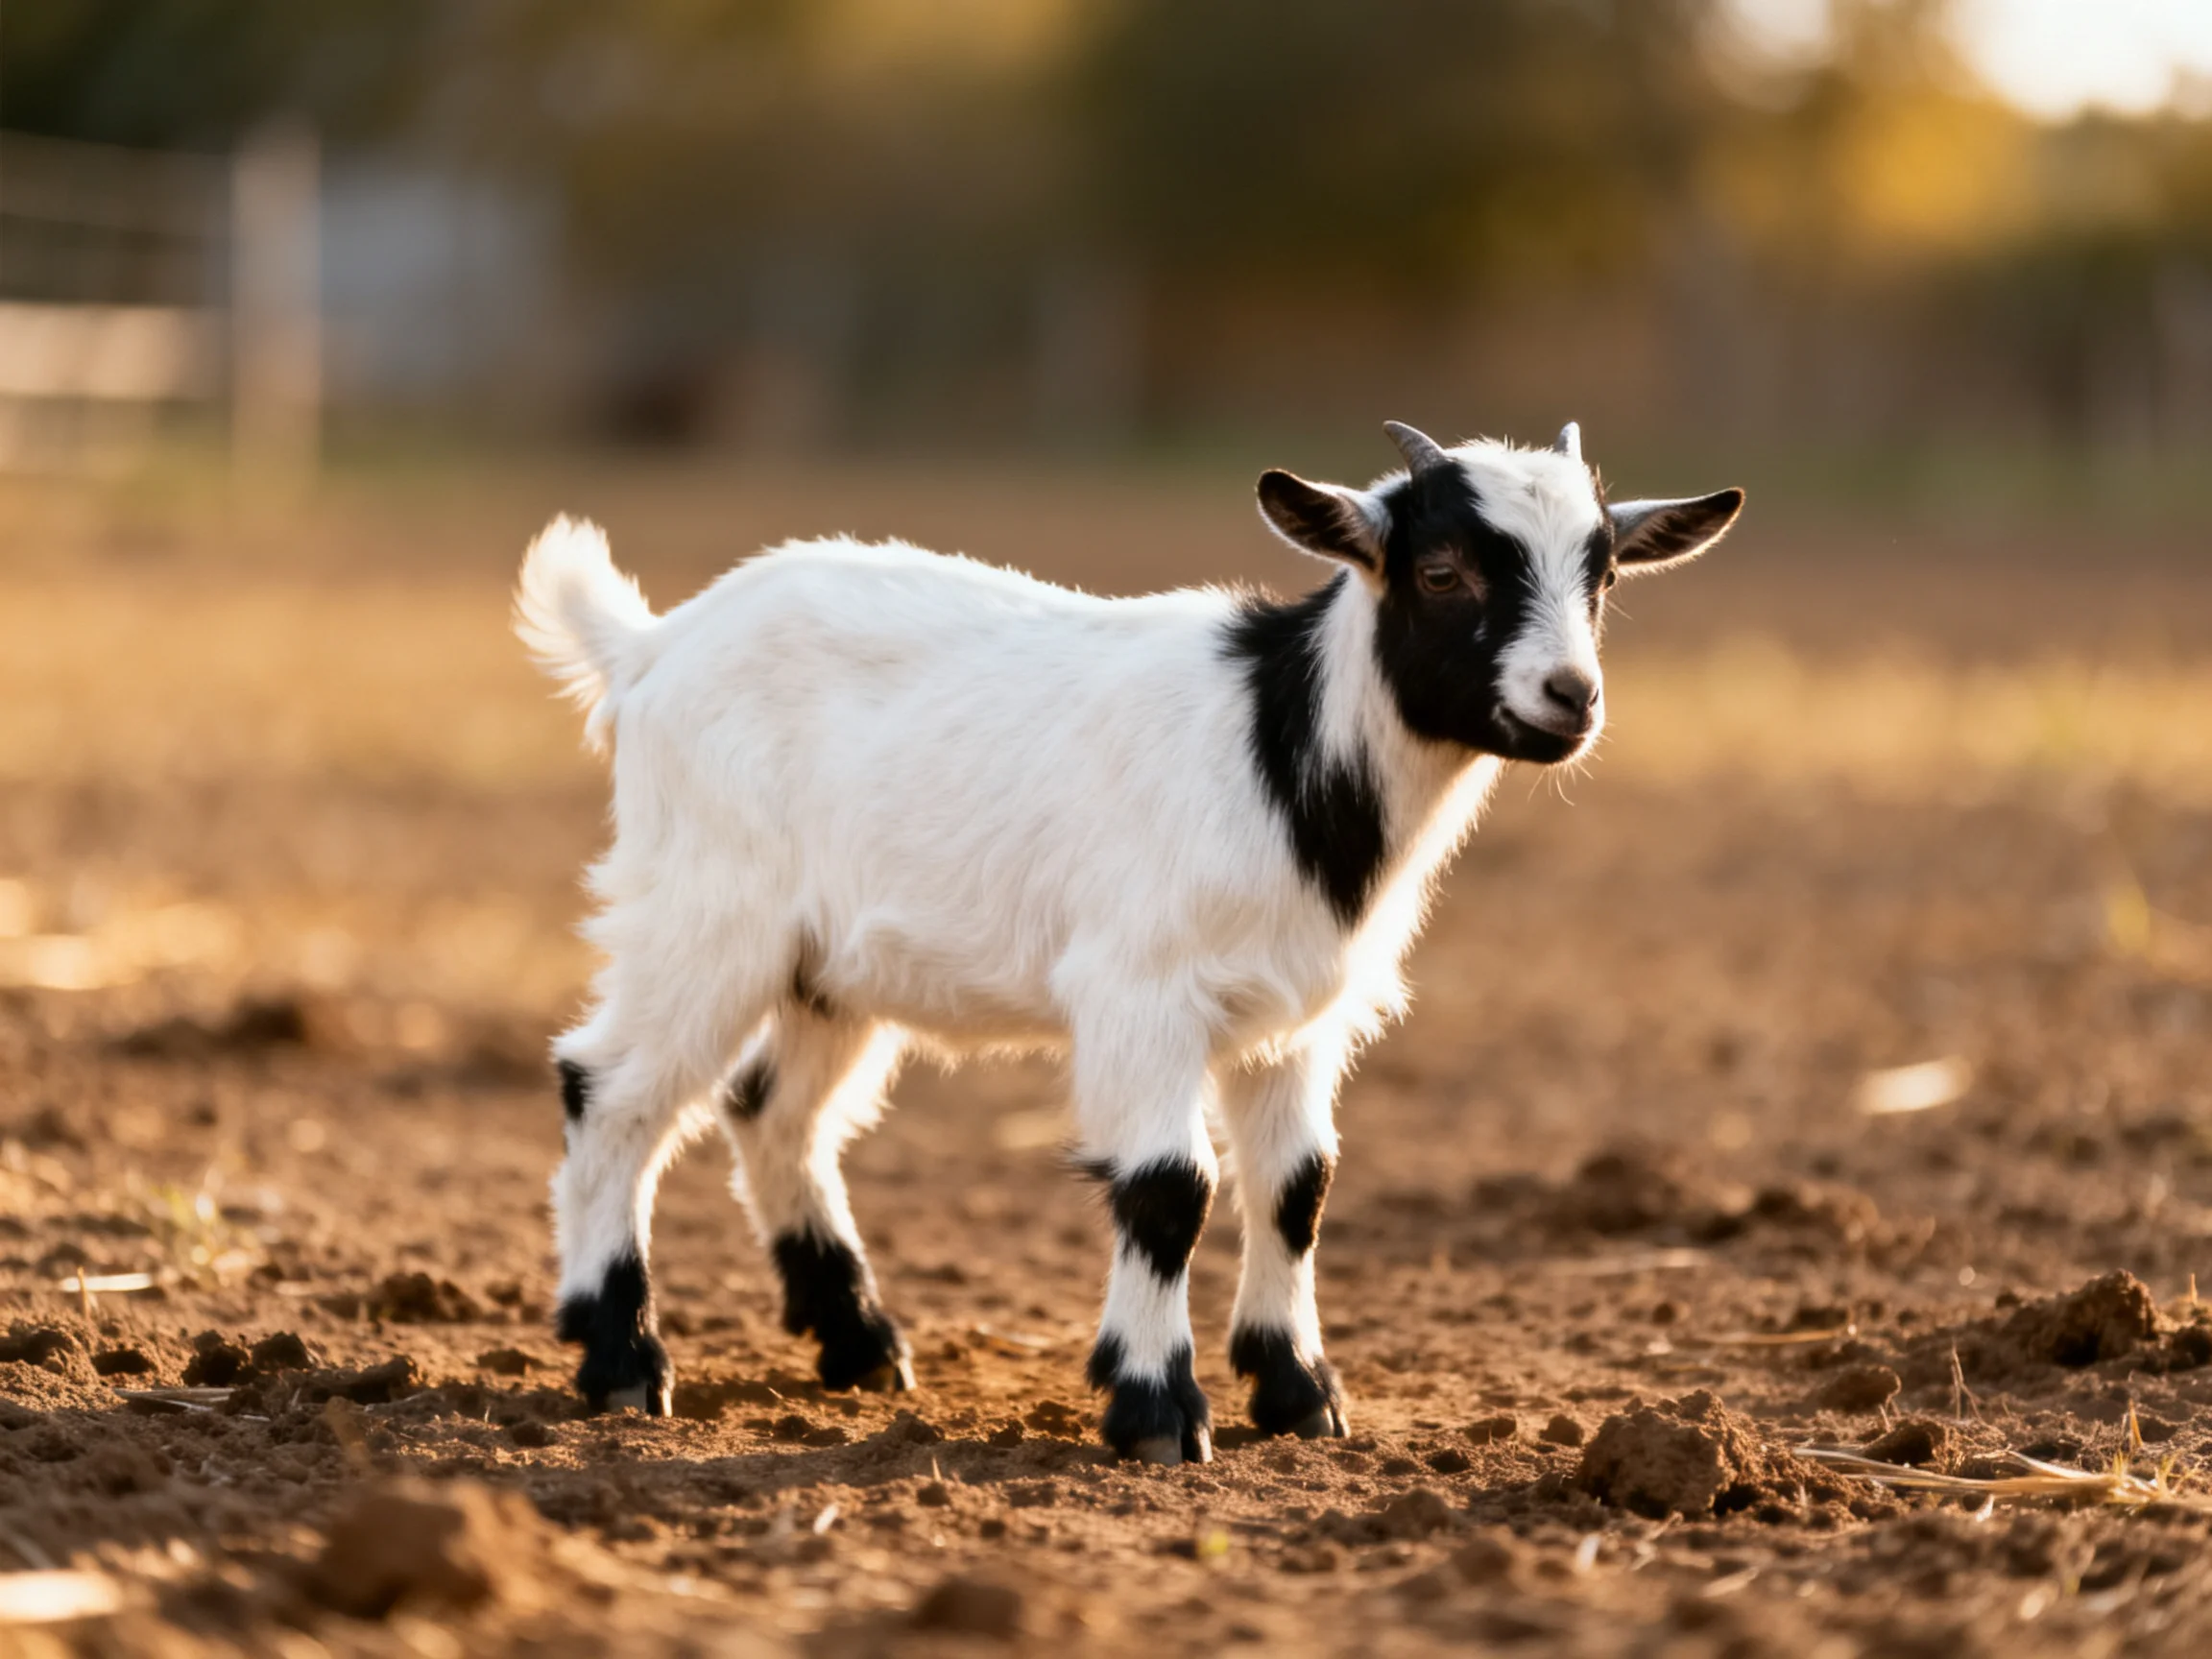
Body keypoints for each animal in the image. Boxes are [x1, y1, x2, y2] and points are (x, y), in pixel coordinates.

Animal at [514, 421, 1741, 1463]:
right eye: (1442, 573)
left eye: (1603, 577)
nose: (1569, 697)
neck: (1282, 746)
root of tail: (652, 647)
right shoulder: (1141, 992)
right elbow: (1167, 1188)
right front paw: (1156, 1411)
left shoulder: (1298, 1014)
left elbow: (1298, 1185)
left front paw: (1299, 1394)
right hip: (706, 911)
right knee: (610, 1088)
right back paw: (623, 1361)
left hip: (831, 964)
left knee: (773, 1108)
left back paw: (859, 1344)